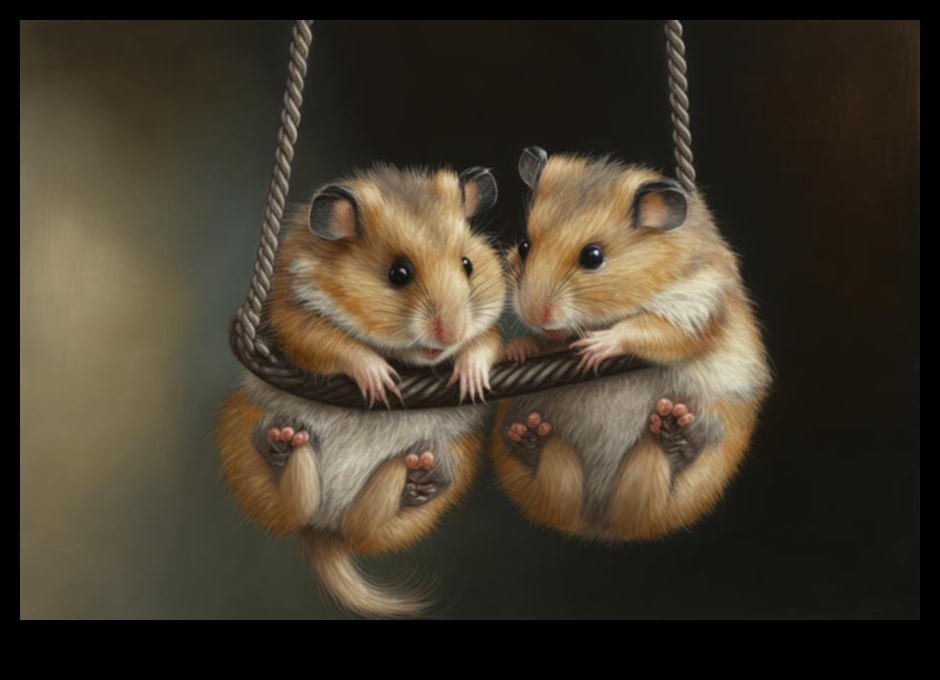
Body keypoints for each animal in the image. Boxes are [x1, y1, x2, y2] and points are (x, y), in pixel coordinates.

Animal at [216, 165, 506, 617]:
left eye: (468, 264)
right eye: (398, 273)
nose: (451, 332)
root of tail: (325, 531)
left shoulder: (489, 327)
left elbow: (487, 342)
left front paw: (469, 378)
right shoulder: (293, 312)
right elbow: (333, 343)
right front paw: (380, 382)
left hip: (457, 457)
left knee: (369, 525)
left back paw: (422, 473)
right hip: (238, 424)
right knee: (287, 497)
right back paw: (282, 441)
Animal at [492, 147, 771, 541]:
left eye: (593, 256)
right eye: (525, 245)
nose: (532, 314)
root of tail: (599, 525)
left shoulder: (695, 305)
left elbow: (648, 327)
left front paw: (596, 346)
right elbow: (547, 342)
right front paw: (520, 348)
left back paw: (675, 434)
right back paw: (529, 436)